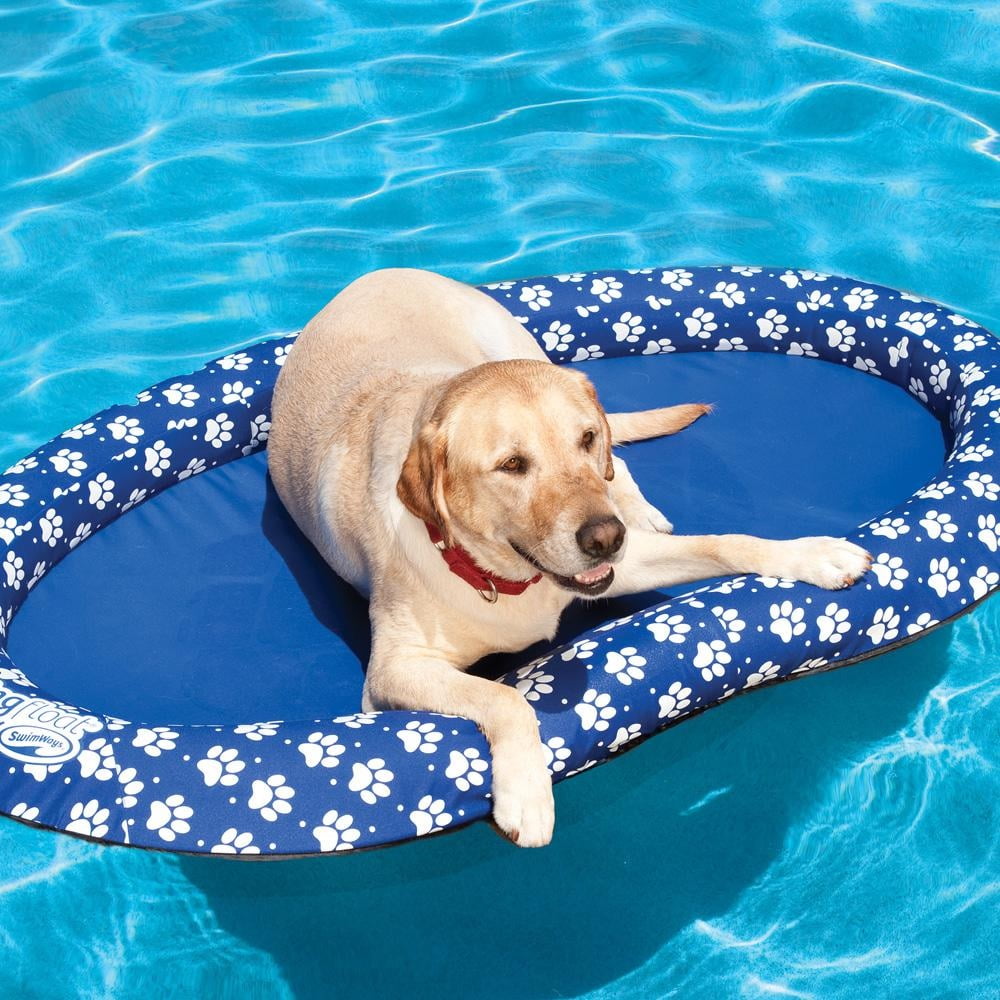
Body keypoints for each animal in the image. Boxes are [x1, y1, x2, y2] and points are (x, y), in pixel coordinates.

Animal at [270, 270, 872, 848]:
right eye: (512, 465)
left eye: (584, 438)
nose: (606, 538)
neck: (502, 576)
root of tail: (375, 275)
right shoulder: (393, 671)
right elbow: (505, 698)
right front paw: (527, 794)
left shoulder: (620, 560)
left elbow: (726, 541)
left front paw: (813, 554)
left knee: (620, 465)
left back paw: (639, 508)